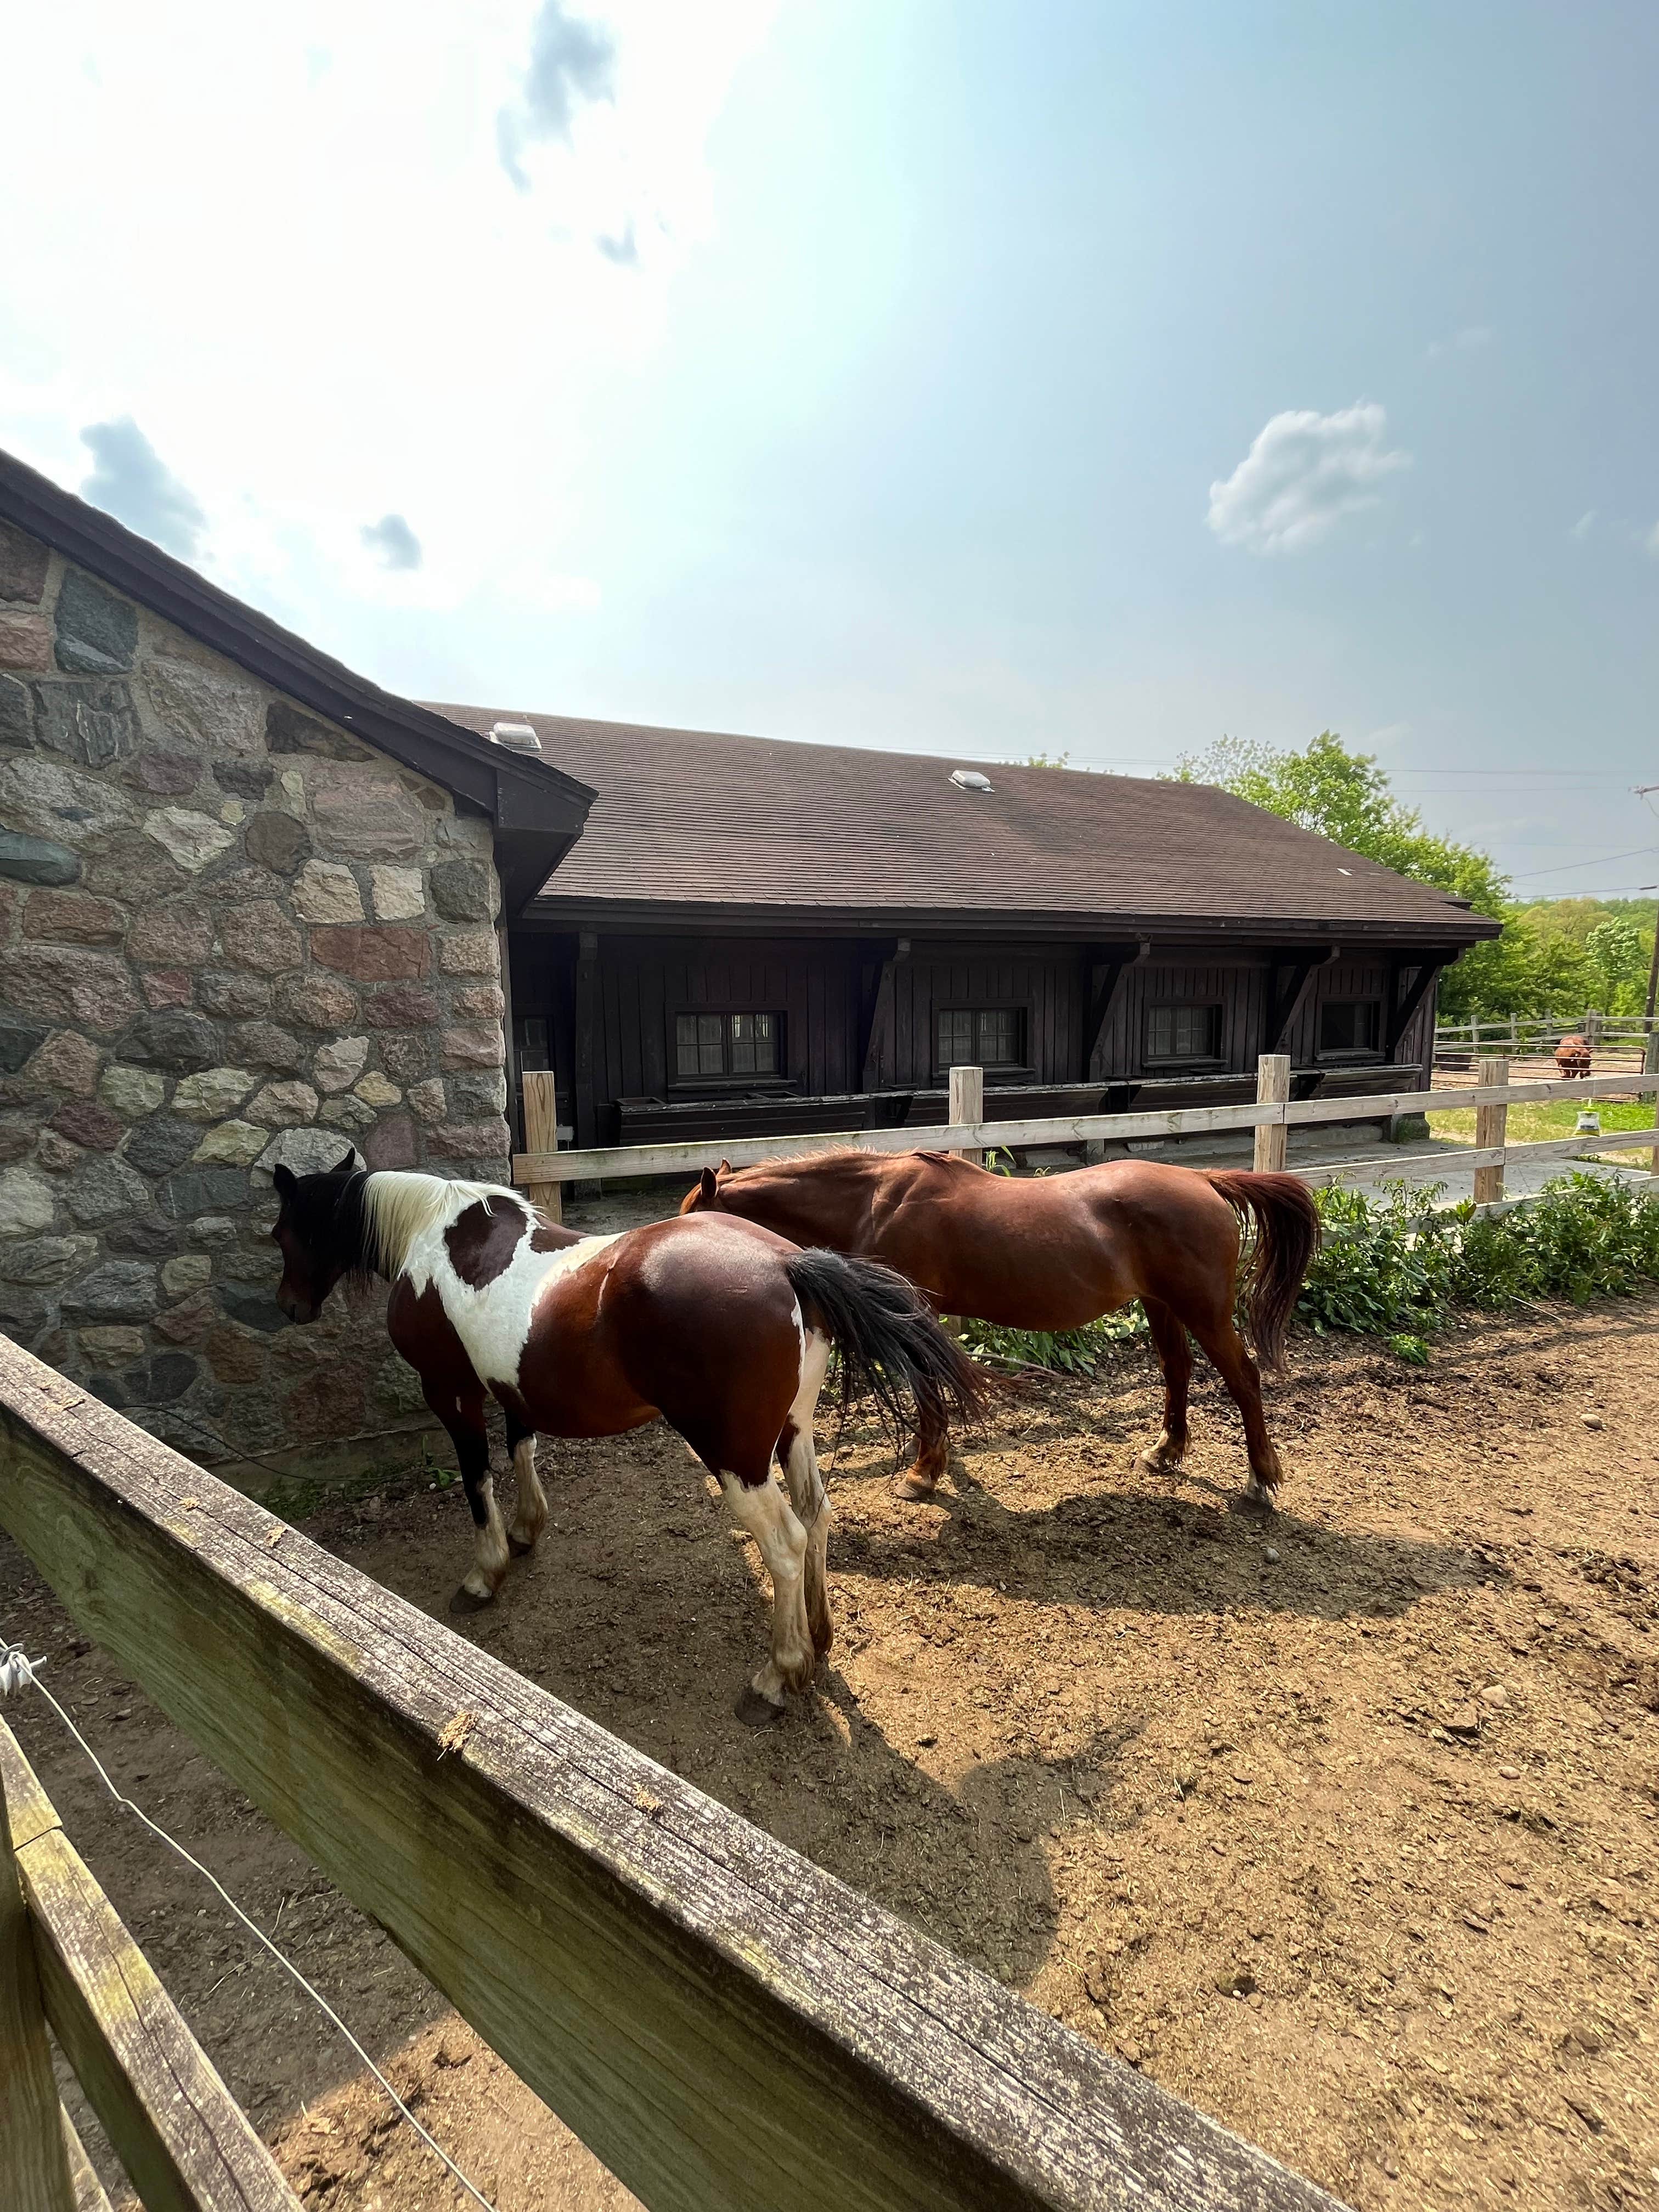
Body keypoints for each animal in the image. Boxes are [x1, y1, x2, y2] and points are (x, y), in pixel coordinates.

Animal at [270, 1153, 987, 1723]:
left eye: (281, 1232)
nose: (287, 1307)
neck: (436, 1238)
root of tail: (789, 1262)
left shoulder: (451, 1392)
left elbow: (476, 1481)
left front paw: (485, 1573)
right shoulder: (510, 1387)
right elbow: (522, 1450)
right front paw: (526, 1531)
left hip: (735, 1457)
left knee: (785, 1543)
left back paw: (777, 1677)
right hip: (790, 1432)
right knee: (816, 1514)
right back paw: (818, 1638)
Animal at [681, 1148, 1319, 1505]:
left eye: (693, 1216)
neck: (874, 1200)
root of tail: (1205, 1181)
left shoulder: (917, 1312)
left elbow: (927, 1391)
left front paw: (922, 1473)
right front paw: (929, 1459)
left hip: (1203, 1309)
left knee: (1243, 1379)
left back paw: (1261, 1480)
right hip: (1161, 1305)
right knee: (1177, 1370)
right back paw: (1165, 1452)